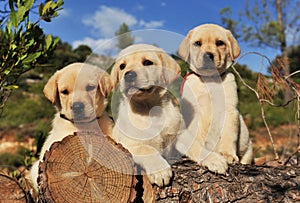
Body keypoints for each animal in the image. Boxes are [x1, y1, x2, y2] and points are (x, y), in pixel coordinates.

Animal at [111, 43, 229, 186]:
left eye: (147, 62)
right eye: (122, 66)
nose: (128, 75)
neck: (151, 108)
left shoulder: (180, 134)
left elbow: (196, 146)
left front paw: (213, 158)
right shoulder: (129, 144)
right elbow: (147, 150)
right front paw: (160, 170)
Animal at [179, 23, 252, 167]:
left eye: (219, 43)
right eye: (197, 43)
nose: (208, 56)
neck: (210, 80)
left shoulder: (230, 110)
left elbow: (229, 135)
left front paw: (227, 154)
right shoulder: (194, 113)